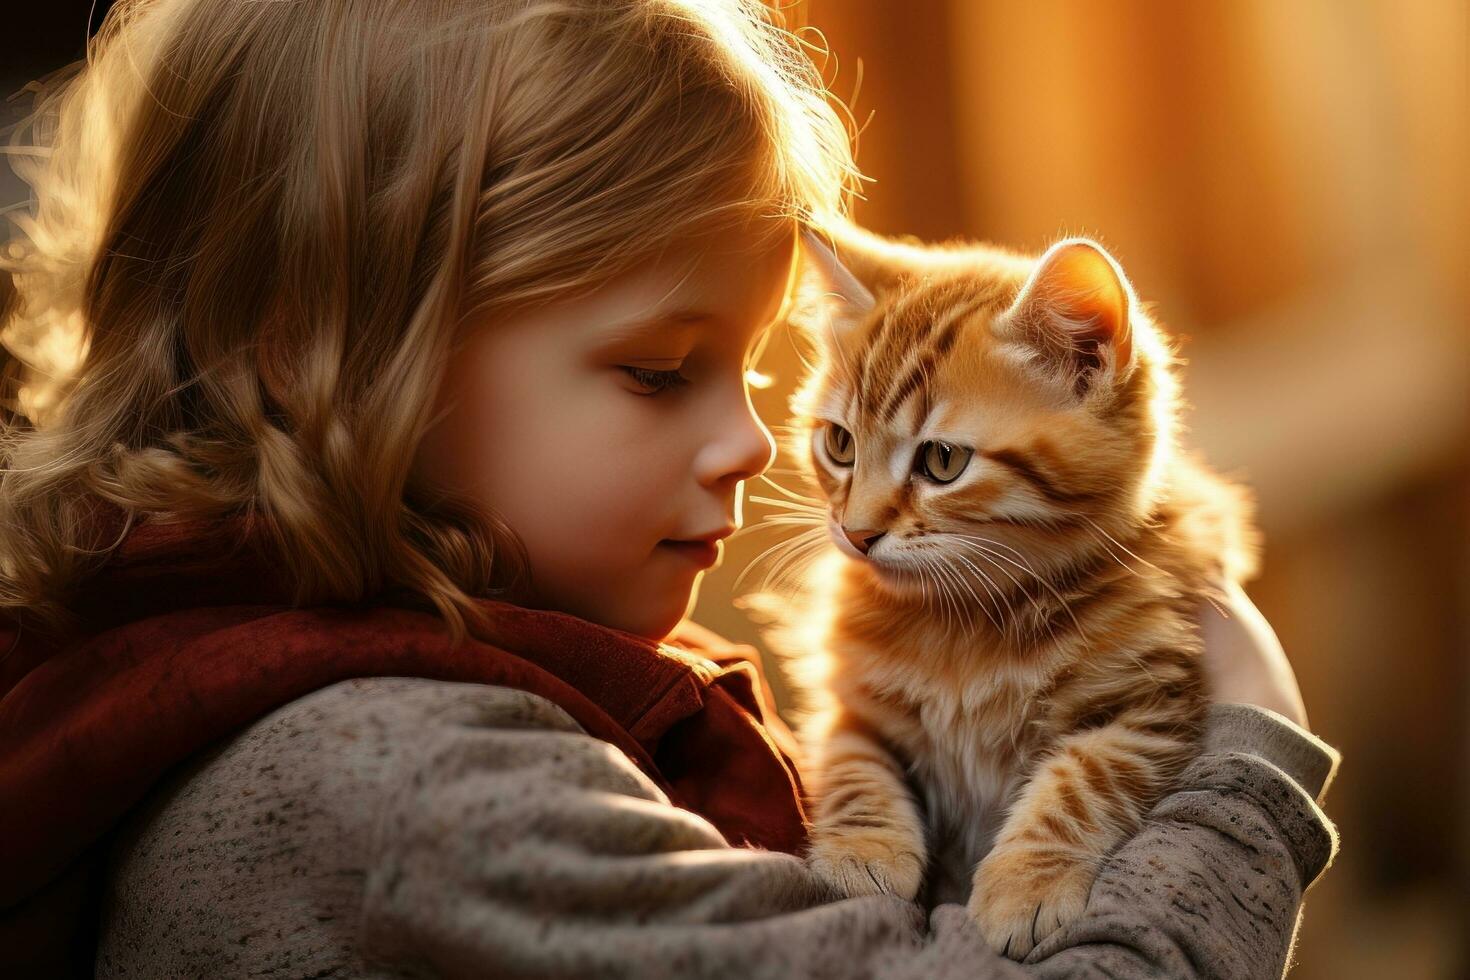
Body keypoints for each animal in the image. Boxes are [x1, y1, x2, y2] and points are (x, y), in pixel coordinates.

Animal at [752, 220, 1258, 957]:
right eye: (839, 445)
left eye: (942, 460)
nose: (856, 531)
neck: (971, 618)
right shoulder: (845, 698)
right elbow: (852, 761)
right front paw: (861, 850)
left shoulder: (1153, 697)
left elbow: (1084, 779)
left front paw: (1028, 882)